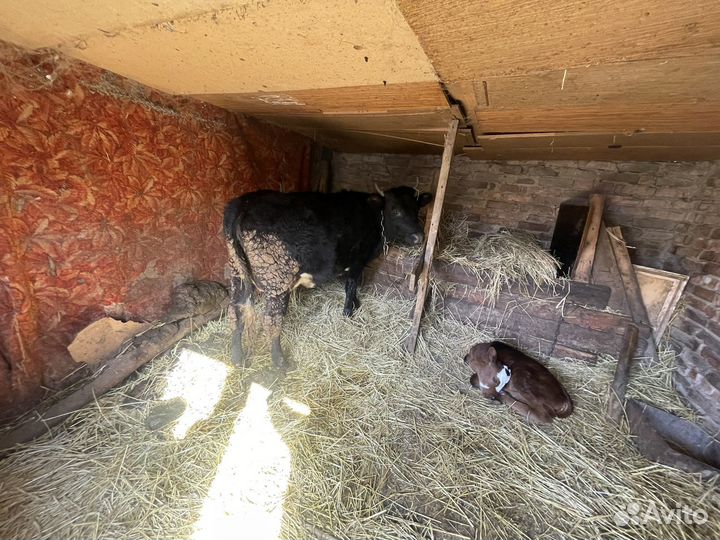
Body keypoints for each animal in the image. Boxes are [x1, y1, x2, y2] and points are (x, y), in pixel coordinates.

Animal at [223, 186, 432, 369]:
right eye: (395, 210)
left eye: (417, 209)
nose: (419, 237)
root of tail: (244, 204)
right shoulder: (358, 259)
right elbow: (351, 284)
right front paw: (349, 311)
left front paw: (355, 303)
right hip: (277, 279)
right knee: (271, 320)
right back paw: (279, 362)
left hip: (237, 272)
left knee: (235, 311)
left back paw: (237, 357)